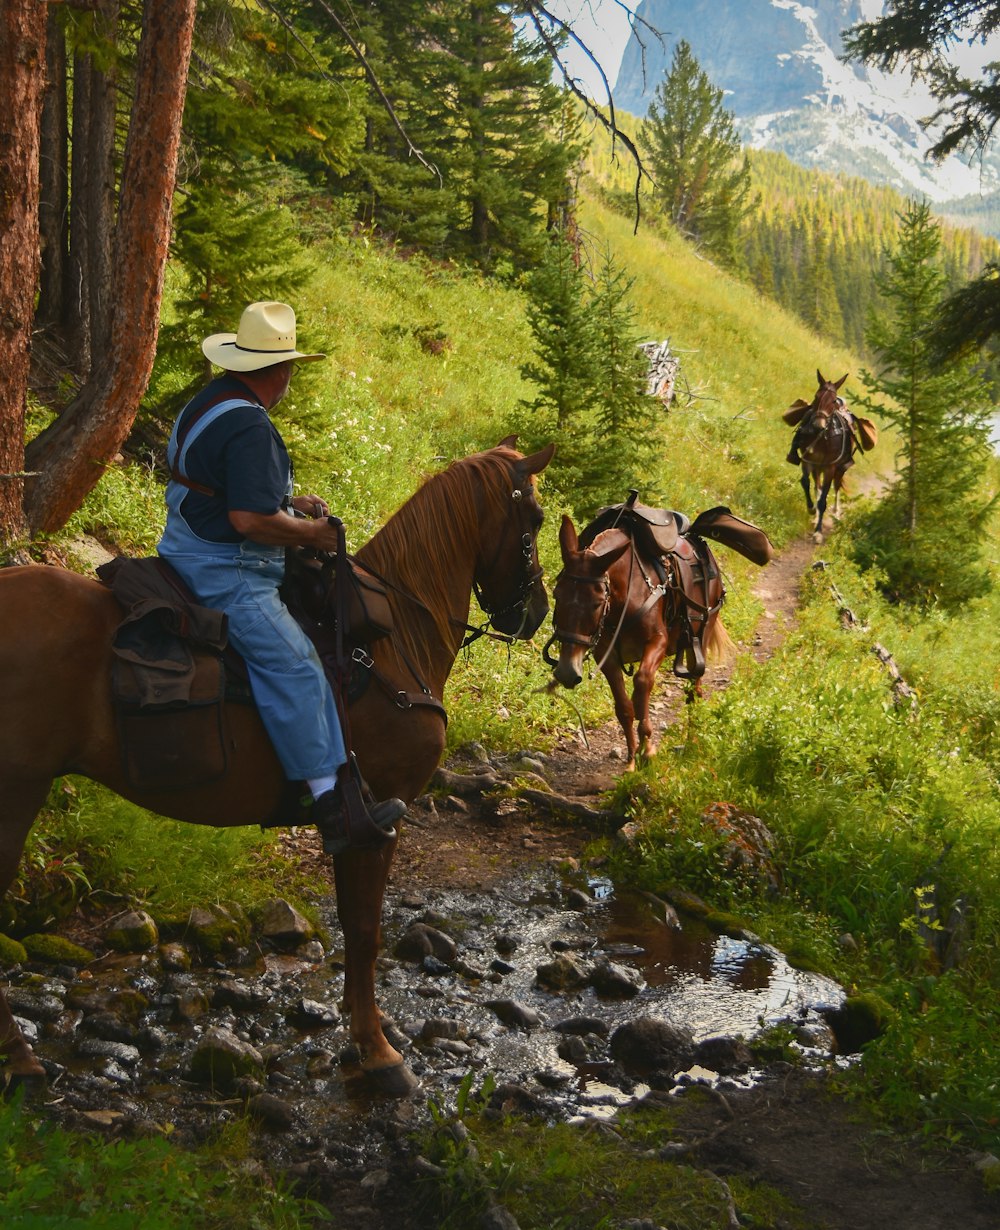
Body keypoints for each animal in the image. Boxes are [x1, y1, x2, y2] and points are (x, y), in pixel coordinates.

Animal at [0, 440, 553, 1097]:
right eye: (536, 520)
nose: (537, 613)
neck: (391, 639)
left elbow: (355, 927)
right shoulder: (379, 818)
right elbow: (364, 931)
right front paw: (377, 1050)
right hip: (15, 793)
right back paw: (21, 1060)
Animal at [546, 492, 772, 767]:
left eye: (598, 602)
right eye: (557, 594)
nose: (566, 672)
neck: (625, 594)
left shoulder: (658, 642)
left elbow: (642, 685)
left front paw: (648, 750)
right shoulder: (605, 655)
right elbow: (624, 707)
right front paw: (632, 758)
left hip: (701, 635)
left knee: (694, 691)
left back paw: (692, 742)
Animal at [787, 366, 875, 536]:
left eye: (833, 400)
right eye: (816, 396)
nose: (818, 425)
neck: (823, 437)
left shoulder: (830, 468)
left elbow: (823, 500)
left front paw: (818, 532)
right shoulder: (809, 461)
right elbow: (806, 483)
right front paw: (811, 510)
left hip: (840, 468)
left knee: (836, 486)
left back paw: (836, 512)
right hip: (818, 468)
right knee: (818, 487)